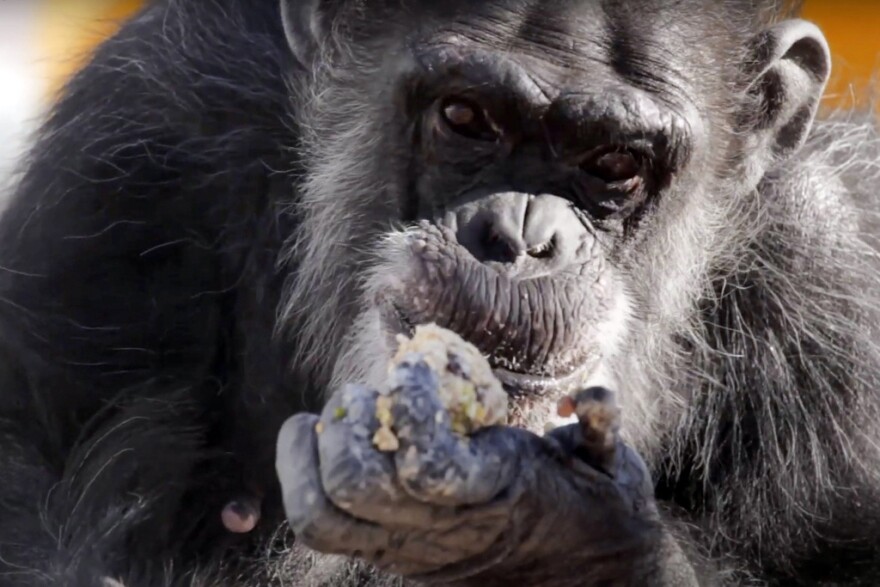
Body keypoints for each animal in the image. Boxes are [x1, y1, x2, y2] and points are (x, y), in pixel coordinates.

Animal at [0, 0, 879, 585]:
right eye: (465, 116)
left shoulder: (834, 277)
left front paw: (544, 525)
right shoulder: (138, 136)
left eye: (615, 163)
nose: (521, 234)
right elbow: (31, 491)